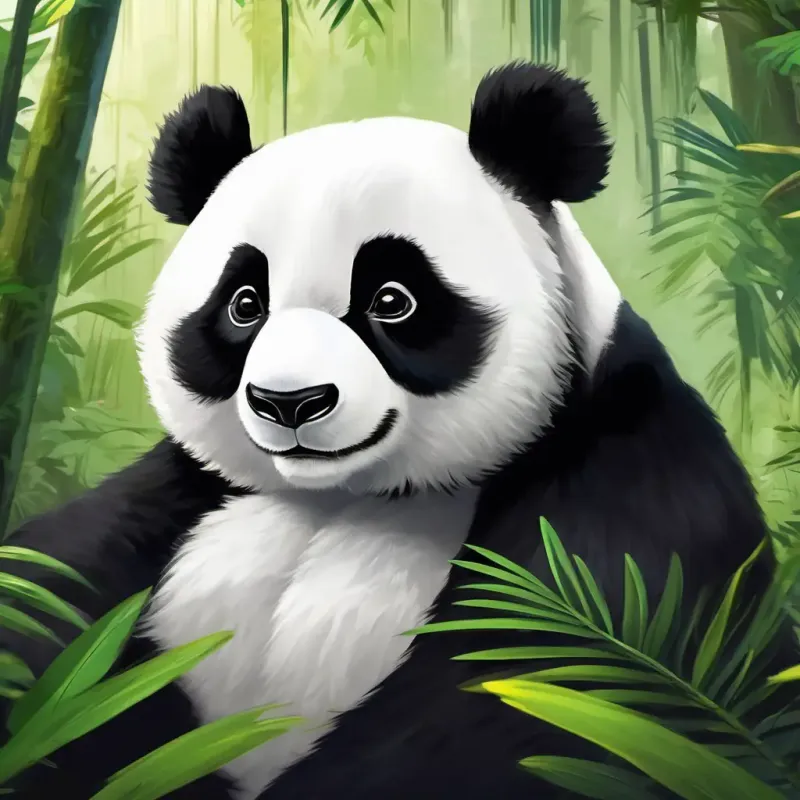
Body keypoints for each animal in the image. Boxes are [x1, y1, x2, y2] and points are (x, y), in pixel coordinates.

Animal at [0, 61, 786, 799]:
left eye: (392, 299)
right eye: (244, 303)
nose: (289, 402)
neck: (347, 494)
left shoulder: (632, 496)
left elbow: (529, 690)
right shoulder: (183, 492)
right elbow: (53, 586)